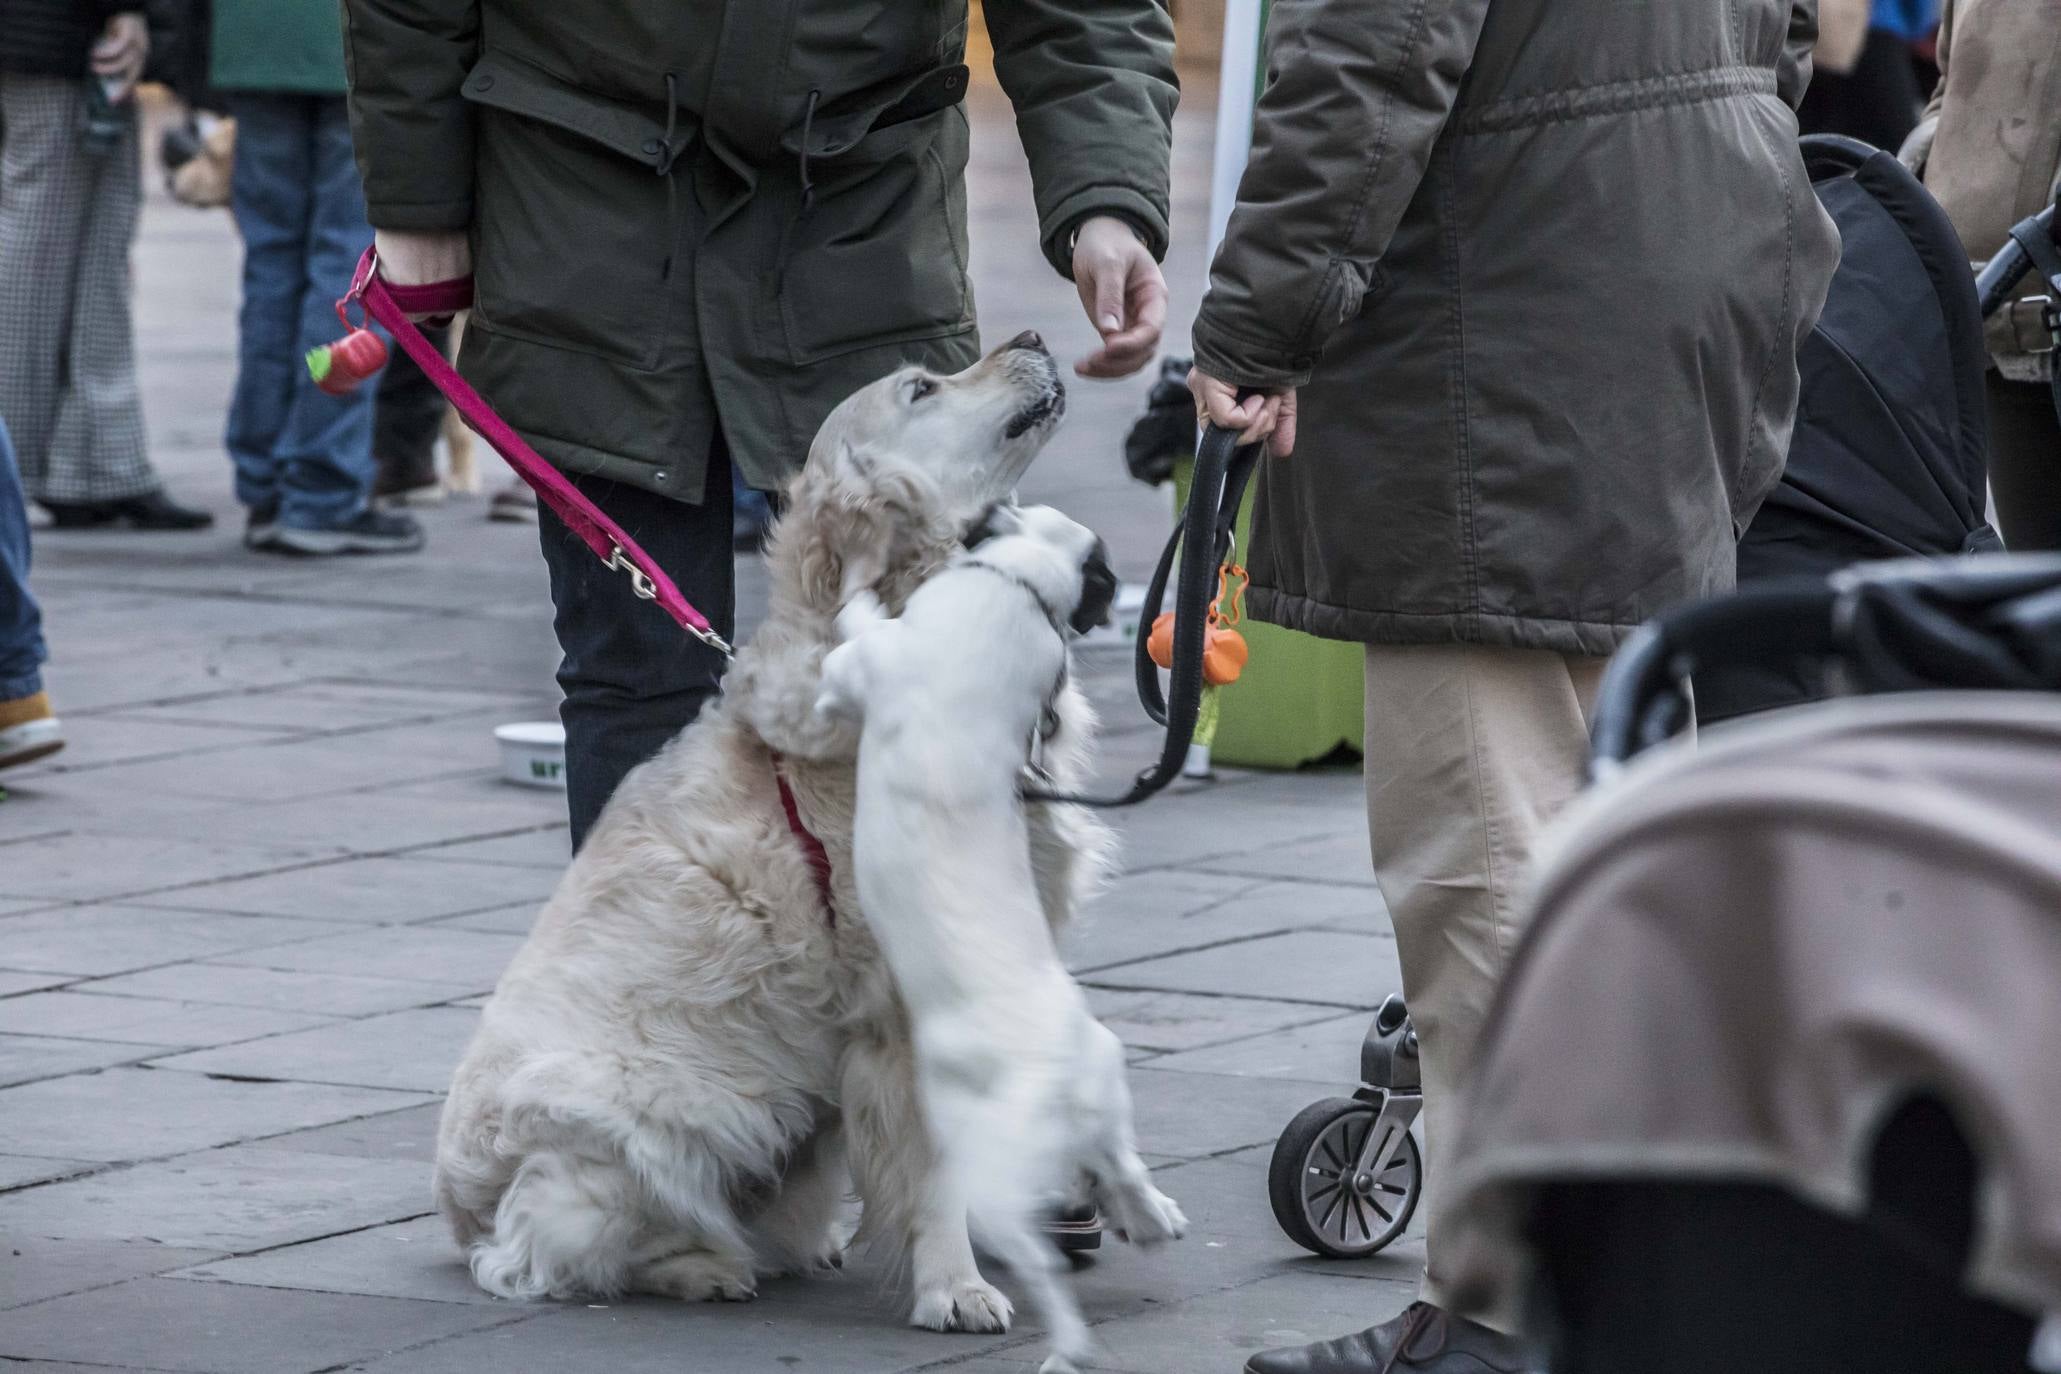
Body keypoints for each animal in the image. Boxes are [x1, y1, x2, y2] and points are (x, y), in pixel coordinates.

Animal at [426, 333, 1121, 1334]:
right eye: (922, 388)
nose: (1029, 338)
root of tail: (457, 1205)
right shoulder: (907, 1009)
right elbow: (938, 1170)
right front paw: (954, 1288)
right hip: (661, 1114)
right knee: (535, 1255)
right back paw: (700, 1268)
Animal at [812, 504, 1187, 1374]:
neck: (1016, 581)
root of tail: (1046, 1080)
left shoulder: (865, 663)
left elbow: (852, 621)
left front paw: (861, 565)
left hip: (983, 1155)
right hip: (1095, 1084)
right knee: (1113, 1164)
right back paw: (1146, 1221)